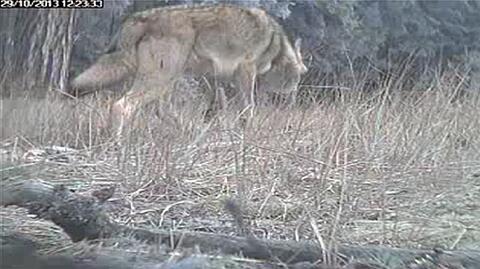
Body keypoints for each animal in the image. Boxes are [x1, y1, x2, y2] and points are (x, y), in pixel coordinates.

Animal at [67, 4, 308, 134]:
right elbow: (248, 108)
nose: (293, 98)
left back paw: (189, 130)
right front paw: (248, 130)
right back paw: (117, 142)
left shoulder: (218, 78)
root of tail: (136, 19)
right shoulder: (245, 71)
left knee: (162, 111)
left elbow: (219, 108)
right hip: (161, 80)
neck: (276, 44)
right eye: (298, 78)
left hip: (170, 80)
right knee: (122, 105)